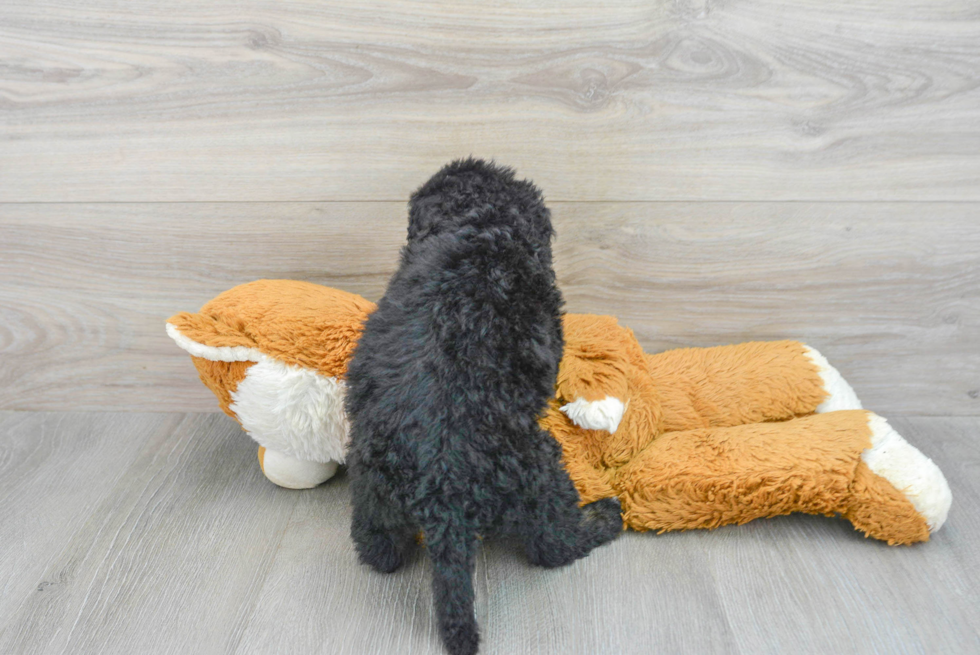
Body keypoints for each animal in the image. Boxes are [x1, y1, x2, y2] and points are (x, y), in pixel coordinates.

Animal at [344, 160, 620, 655]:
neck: (476, 223)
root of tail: (442, 497)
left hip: (370, 487)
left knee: (379, 550)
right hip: (542, 473)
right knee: (554, 546)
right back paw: (604, 518)